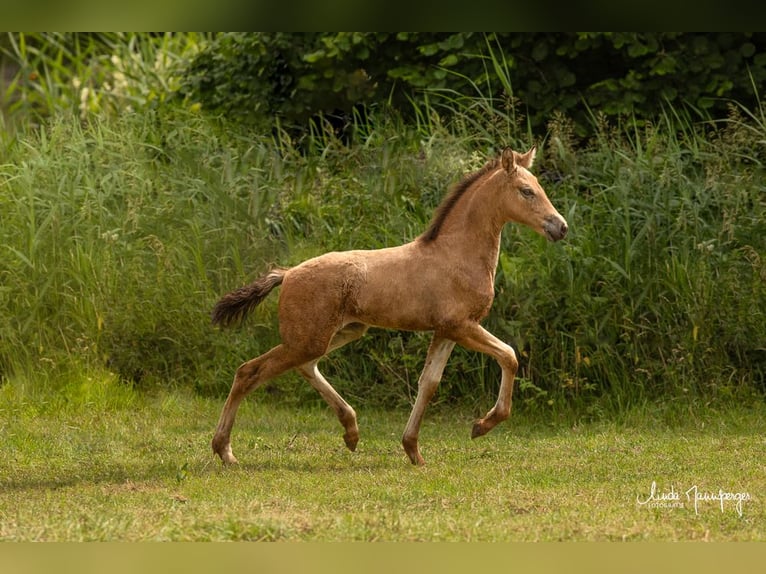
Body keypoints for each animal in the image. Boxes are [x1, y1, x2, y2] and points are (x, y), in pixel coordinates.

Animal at [213, 146, 568, 466]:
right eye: (526, 191)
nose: (560, 227)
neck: (457, 255)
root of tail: (286, 274)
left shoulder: (445, 332)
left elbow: (429, 383)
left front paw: (413, 450)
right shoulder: (461, 325)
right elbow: (509, 356)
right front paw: (481, 425)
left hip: (340, 333)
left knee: (303, 367)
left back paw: (351, 432)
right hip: (307, 339)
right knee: (249, 372)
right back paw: (225, 451)